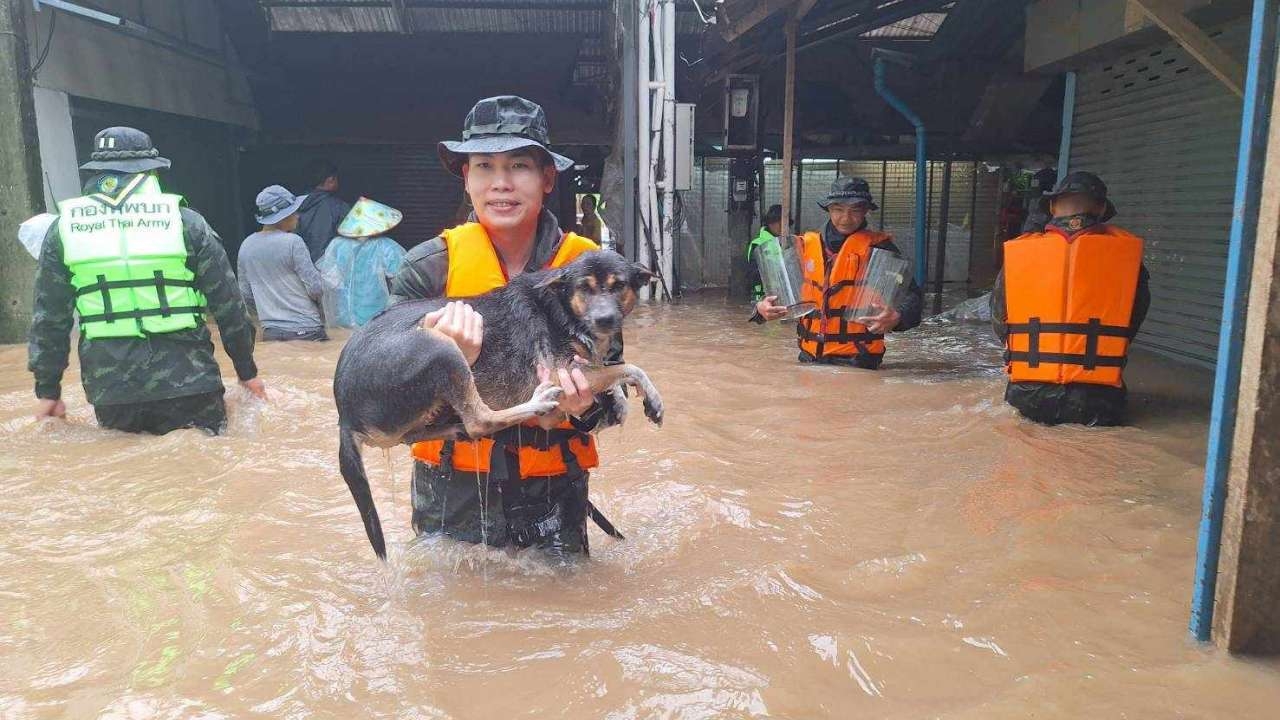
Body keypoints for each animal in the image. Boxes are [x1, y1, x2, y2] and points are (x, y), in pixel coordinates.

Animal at [332, 249, 660, 558]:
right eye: (584, 288)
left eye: (618, 286)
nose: (605, 320)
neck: (561, 307)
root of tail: (344, 414)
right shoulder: (560, 370)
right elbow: (627, 367)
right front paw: (651, 397)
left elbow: (611, 369)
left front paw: (621, 402)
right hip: (441, 347)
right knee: (479, 421)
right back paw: (537, 402)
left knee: (429, 432)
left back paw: (454, 429)